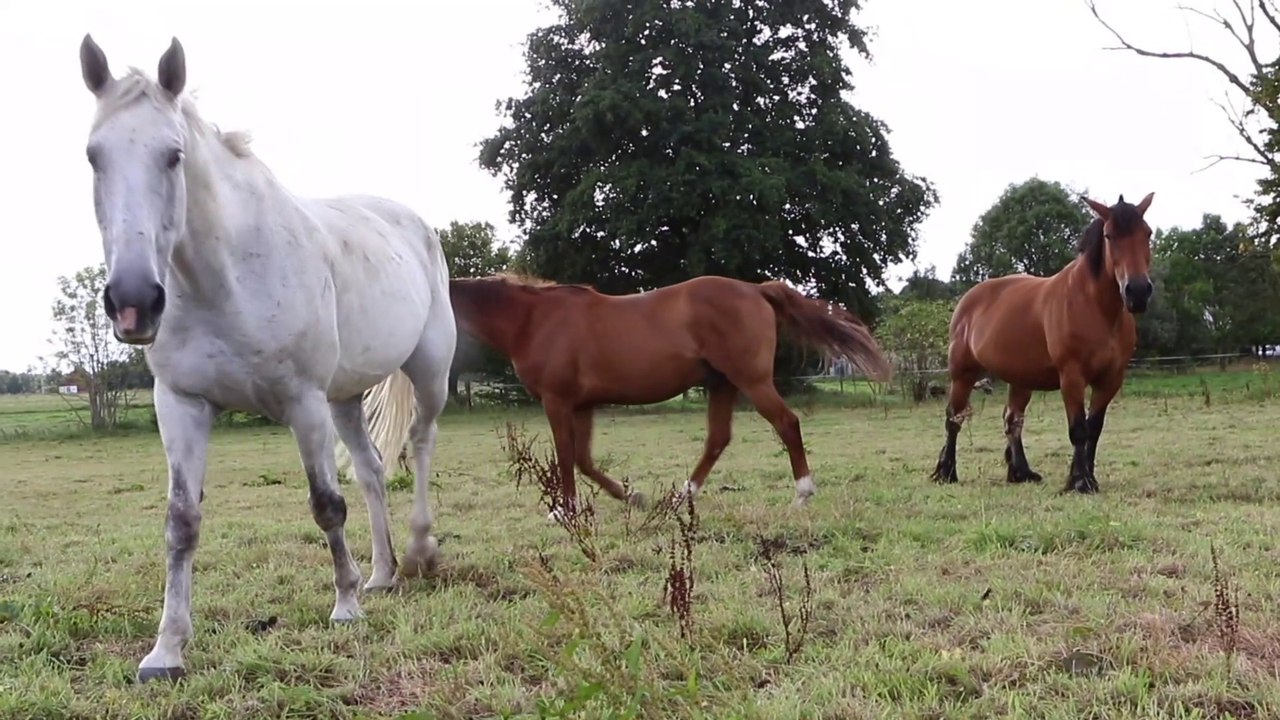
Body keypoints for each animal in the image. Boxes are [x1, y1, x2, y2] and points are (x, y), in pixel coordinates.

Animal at [78, 35, 456, 682]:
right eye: (93, 156)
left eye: (173, 156)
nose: (133, 302)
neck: (224, 279)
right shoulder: (181, 403)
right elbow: (181, 523)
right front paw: (166, 650)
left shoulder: (302, 402)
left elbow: (326, 505)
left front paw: (344, 605)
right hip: (344, 399)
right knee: (373, 470)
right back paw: (383, 574)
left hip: (427, 372)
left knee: (422, 444)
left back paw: (418, 552)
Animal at [364, 273, 894, 520]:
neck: (532, 321)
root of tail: (755, 290)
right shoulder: (582, 406)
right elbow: (583, 460)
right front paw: (632, 496)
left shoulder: (558, 401)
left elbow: (565, 457)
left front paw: (564, 510)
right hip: (721, 384)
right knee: (717, 440)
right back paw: (680, 496)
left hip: (751, 381)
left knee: (786, 424)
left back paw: (803, 493)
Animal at [929, 192, 1156, 494]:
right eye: (1109, 236)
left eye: (1147, 233)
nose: (1138, 291)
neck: (1096, 308)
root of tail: (967, 300)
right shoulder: (1071, 376)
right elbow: (1078, 430)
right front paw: (1080, 482)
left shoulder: (1110, 379)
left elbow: (1094, 429)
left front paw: (1088, 478)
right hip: (963, 374)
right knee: (953, 419)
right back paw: (947, 472)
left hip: (1020, 380)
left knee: (1012, 420)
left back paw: (1020, 472)